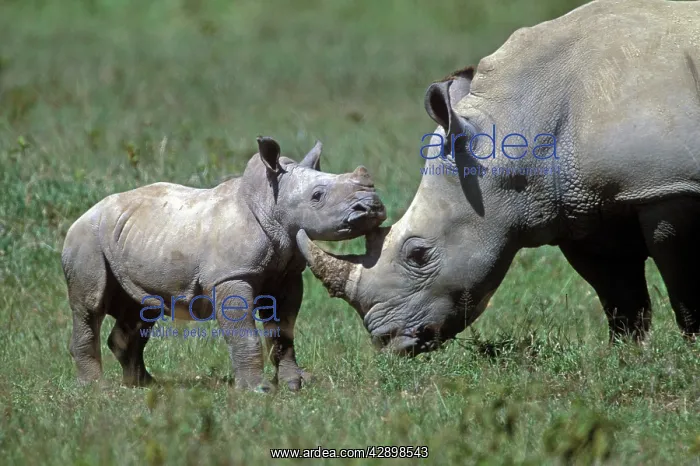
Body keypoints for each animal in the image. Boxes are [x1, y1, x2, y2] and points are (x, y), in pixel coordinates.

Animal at [62, 136, 386, 391]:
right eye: (317, 197)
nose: (372, 207)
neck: (270, 202)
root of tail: (84, 214)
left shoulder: (287, 275)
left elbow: (283, 331)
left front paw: (295, 384)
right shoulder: (231, 275)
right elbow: (244, 333)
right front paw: (258, 390)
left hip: (133, 239)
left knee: (142, 308)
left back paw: (145, 385)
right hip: (85, 239)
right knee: (89, 307)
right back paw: (96, 388)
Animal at [296, 0, 700, 356]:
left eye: (418, 255)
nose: (388, 342)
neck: (518, 122)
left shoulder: (668, 186)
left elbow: (683, 281)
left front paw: (692, 350)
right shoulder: (579, 203)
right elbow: (617, 290)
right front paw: (624, 356)